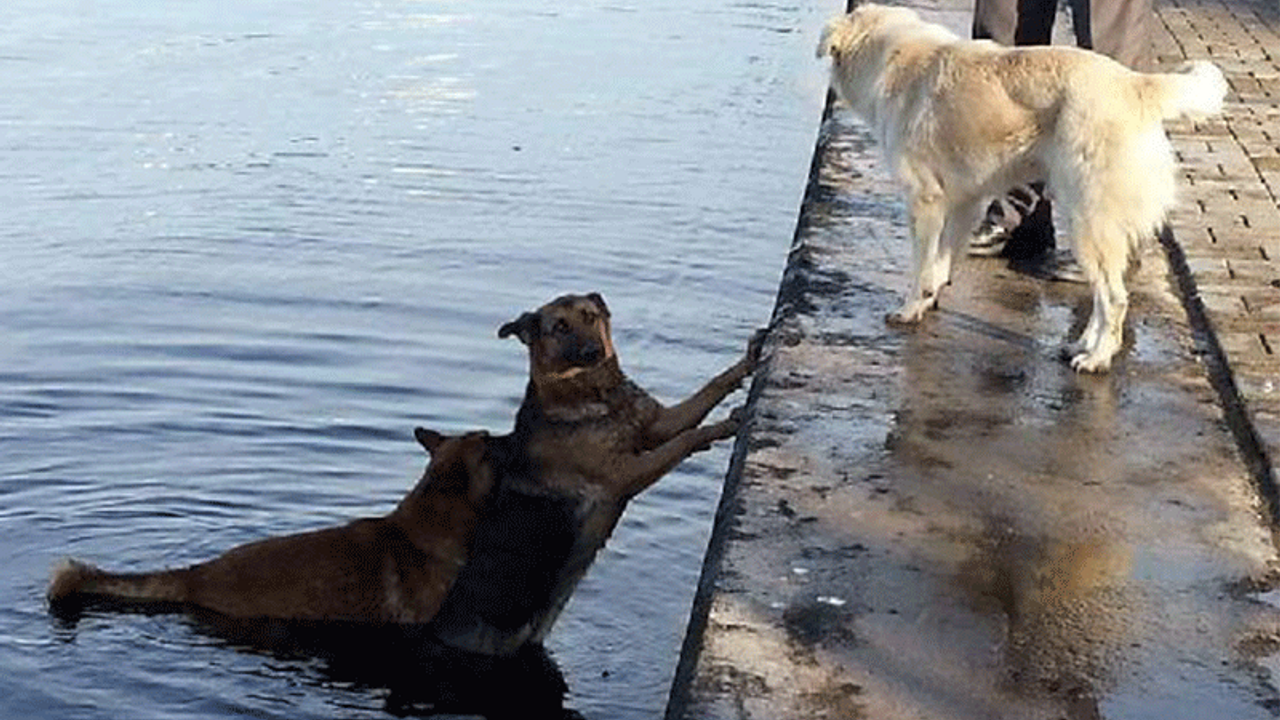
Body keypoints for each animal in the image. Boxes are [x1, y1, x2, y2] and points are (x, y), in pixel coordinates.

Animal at [424, 293, 757, 655]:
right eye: (560, 327)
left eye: (590, 316)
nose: (593, 352)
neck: (591, 394)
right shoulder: (626, 472)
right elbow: (684, 439)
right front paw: (722, 426)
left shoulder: (658, 424)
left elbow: (709, 390)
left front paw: (750, 358)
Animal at [814, 5, 1223, 371]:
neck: (891, 52)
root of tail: (1137, 84)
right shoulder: (962, 205)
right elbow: (940, 264)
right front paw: (929, 300)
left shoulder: (924, 201)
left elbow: (921, 267)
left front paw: (910, 308)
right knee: (1100, 299)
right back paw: (1079, 346)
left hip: (1087, 223)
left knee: (1114, 300)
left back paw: (1097, 359)